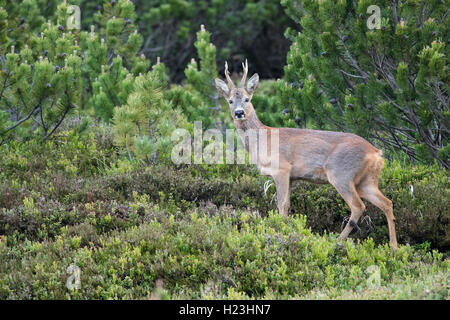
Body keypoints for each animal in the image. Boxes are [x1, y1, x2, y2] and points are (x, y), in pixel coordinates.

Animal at [214, 60, 398, 250]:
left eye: (247, 99)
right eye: (230, 101)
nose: (239, 112)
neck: (263, 139)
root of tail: (377, 153)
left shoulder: (282, 169)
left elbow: (281, 204)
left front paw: (281, 232)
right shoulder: (292, 177)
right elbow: (287, 205)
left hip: (342, 175)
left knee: (358, 206)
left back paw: (337, 241)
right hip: (366, 181)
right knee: (387, 202)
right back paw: (394, 247)